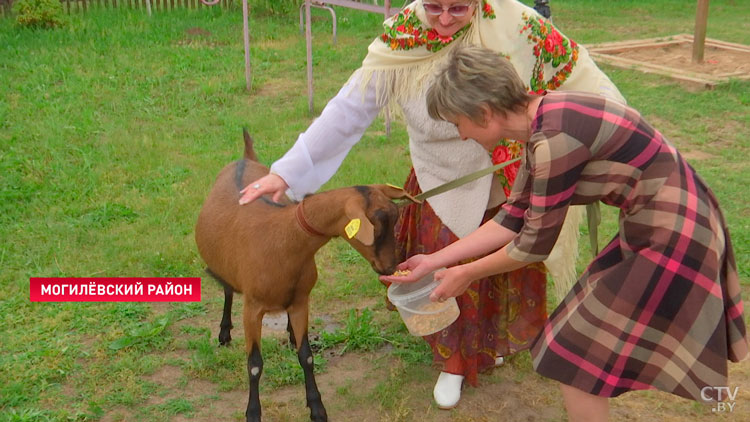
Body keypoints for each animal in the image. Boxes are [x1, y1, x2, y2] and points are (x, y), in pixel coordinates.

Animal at [194, 130, 418, 420]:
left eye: (396, 218)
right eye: (376, 228)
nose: (391, 267)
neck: (284, 239)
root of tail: (245, 158)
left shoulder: (301, 300)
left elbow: (306, 355)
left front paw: (317, 408)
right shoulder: (252, 308)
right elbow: (254, 365)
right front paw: (253, 413)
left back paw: (289, 333)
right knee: (228, 288)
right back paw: (224, 333)